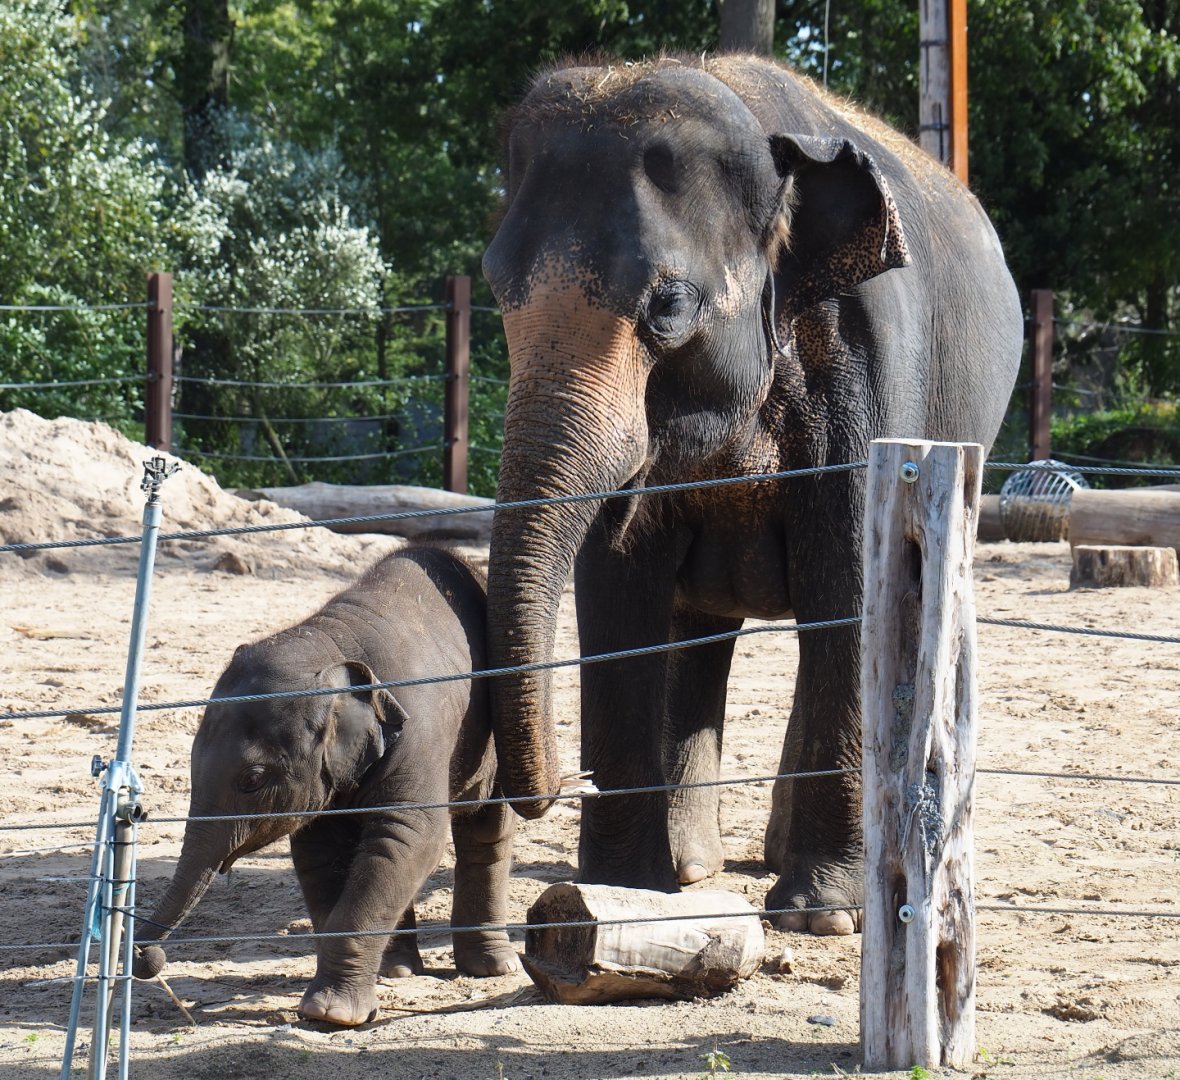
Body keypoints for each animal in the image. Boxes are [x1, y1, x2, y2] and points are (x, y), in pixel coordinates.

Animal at [133, 546, 518, 1026]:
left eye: (251, 779)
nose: (148, 958)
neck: (333, 644)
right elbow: (321, 854)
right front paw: (336, 1004)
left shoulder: (421, 728)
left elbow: (407, 839)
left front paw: (331, 1014)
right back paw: (396, 970)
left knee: (487, 828)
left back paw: (491, 967)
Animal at [480, 55, 1023, 934]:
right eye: (496, 291)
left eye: (669, 303)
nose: (557, 784)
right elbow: (616, 587)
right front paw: (627, 893)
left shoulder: (869, 366)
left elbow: (851, 585)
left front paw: (823, 913)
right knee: (701, 631)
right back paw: (693, 868)